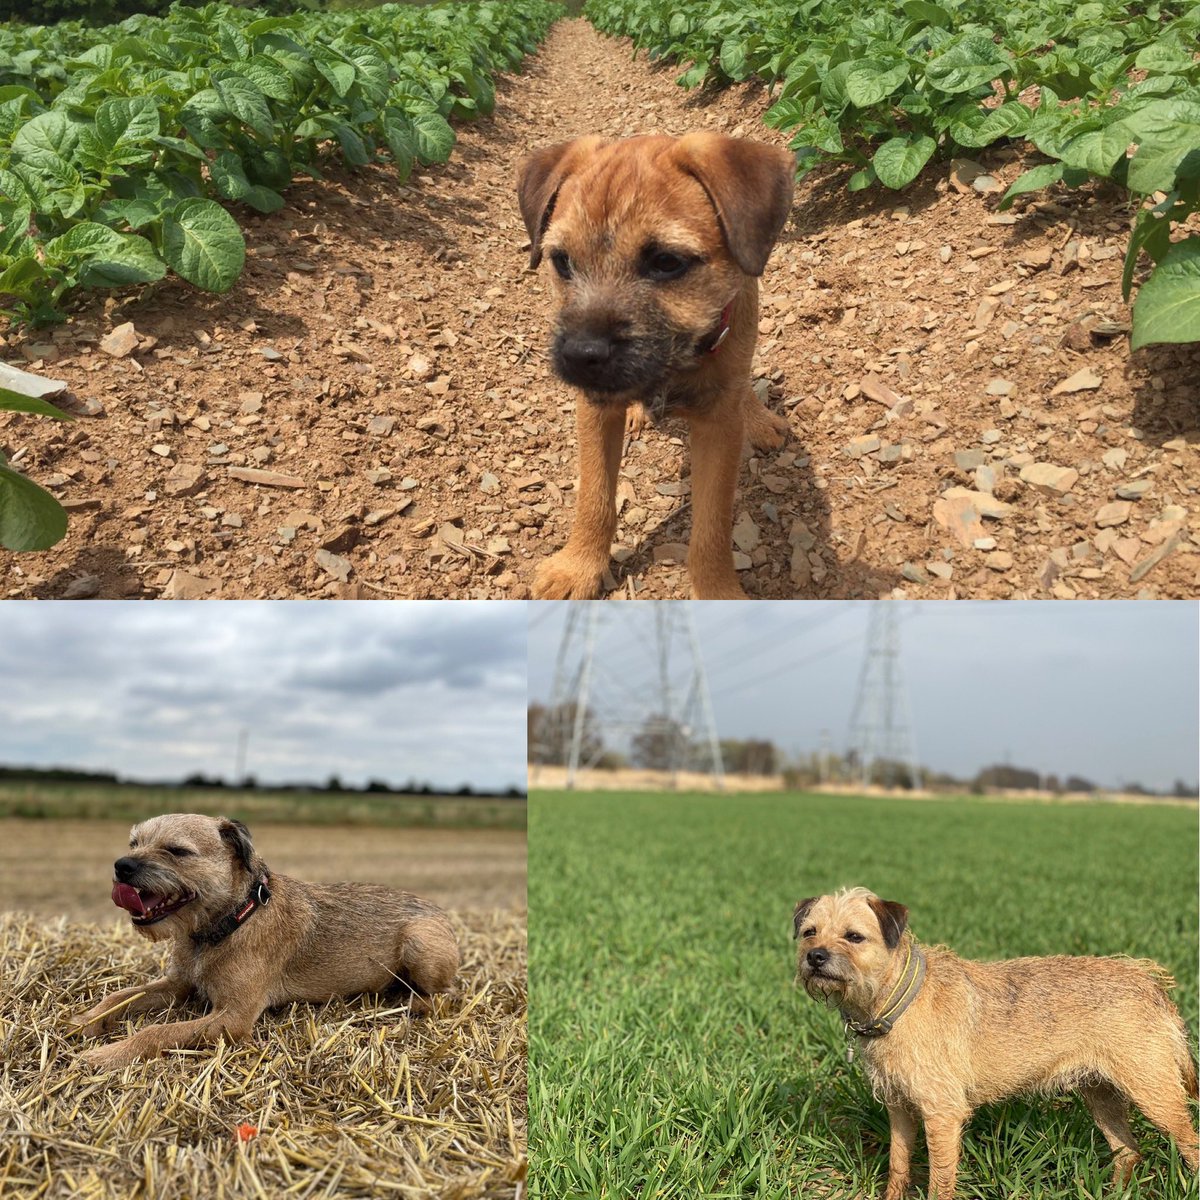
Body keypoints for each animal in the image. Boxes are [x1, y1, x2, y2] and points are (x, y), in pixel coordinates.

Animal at [71, 816, 458, 1070]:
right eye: (134, 843)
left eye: (177, 851)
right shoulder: (177, 985)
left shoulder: (233, 1017)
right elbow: (119, 996)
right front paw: (85, 1019)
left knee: (445, 995)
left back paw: (415, 1005)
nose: (121, 866)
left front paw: (108, 1054)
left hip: (420, 942)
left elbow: (155, 1032)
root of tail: (440, 910)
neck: (228, 922)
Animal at [516, 133, 796, 600]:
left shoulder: (718, 427)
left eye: (666, 262)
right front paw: (579, 567)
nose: (579, 355)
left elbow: (712, 526)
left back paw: (758, 417)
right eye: (562, 261)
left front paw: (717, 592)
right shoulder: (594, 412)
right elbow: (595, 496)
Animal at [792, 888, 1195, 1195]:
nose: (815, 956)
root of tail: (1151, 983)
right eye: (810, 932)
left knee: (1190, 1142)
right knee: (1127, 1151)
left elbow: (940, 1180)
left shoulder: (942, 1114)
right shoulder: (899, 1107)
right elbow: (898, 1164)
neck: (896, 999)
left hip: (1155, 1093)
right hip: (1101, 1093)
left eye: (853, 936)